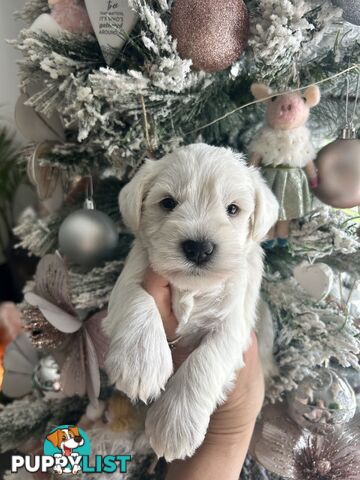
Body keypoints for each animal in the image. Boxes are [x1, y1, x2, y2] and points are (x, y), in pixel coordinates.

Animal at [104, 143, 278, 462]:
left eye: (232, 209)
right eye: (168, 203)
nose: (199, 248)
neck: (192, 288)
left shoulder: (234, 324)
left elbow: (206, 361)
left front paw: (174, 425)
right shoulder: (134, 272)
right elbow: (139, 297)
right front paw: (140, 363)